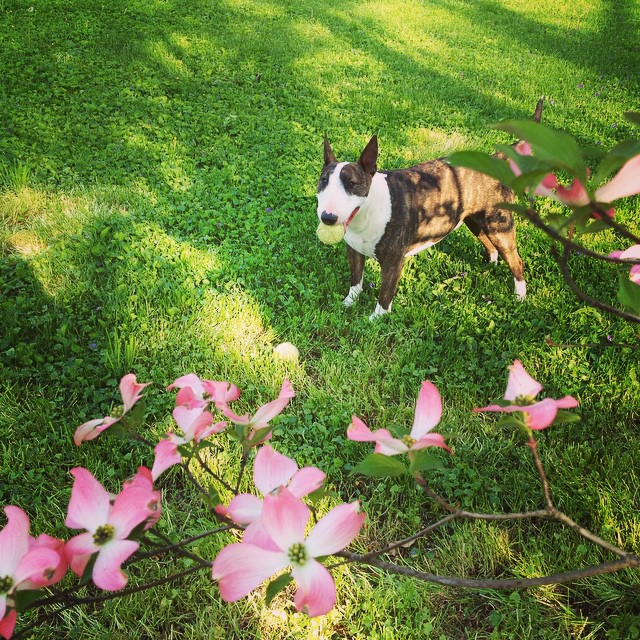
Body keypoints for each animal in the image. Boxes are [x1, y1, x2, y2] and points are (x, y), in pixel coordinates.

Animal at [316, 100, 543, 319]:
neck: (367, 211)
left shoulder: (393, 262)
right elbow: (356, 280)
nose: (327, 217)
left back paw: (519, 297)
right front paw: (347, 303)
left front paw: (376, 320)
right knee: (490, 245)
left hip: (499, 226)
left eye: (351, 184)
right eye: (323, 181)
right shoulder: (354, 250)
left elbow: (385, 294)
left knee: (516, 260)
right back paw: (488, 266)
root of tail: (495, 158)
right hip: (474, 220)